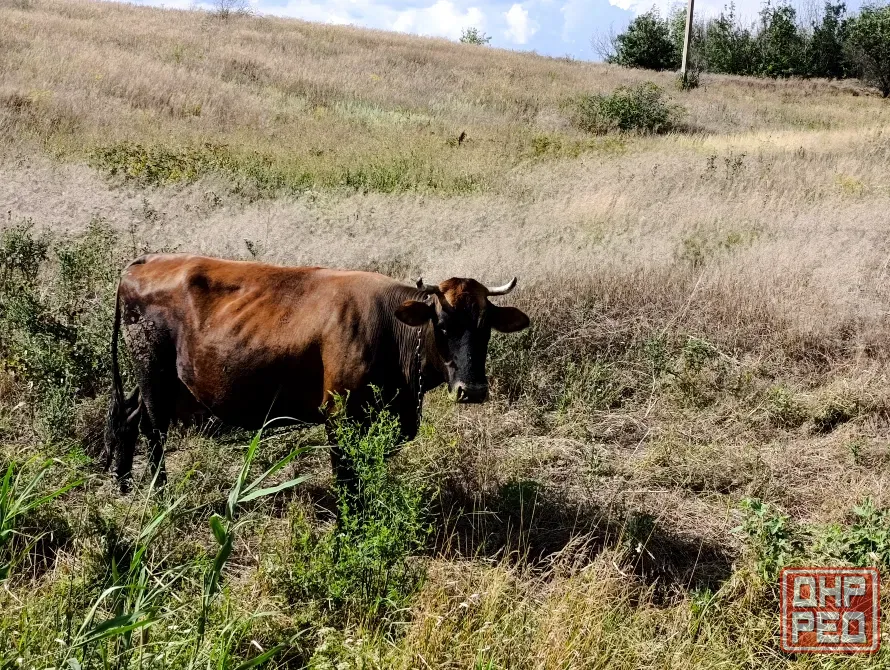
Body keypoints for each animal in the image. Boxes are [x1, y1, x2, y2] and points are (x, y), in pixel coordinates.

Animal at [103, 254, 530, 493]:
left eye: (486, 327)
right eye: (441, 325)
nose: (472, 389)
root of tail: (148, 260)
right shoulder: (340, 415)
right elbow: (346, 476)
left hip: (164, 380)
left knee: (129, 414)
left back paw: (123, 483)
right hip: (153, 370)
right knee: (153, 428)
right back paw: (158, 493)